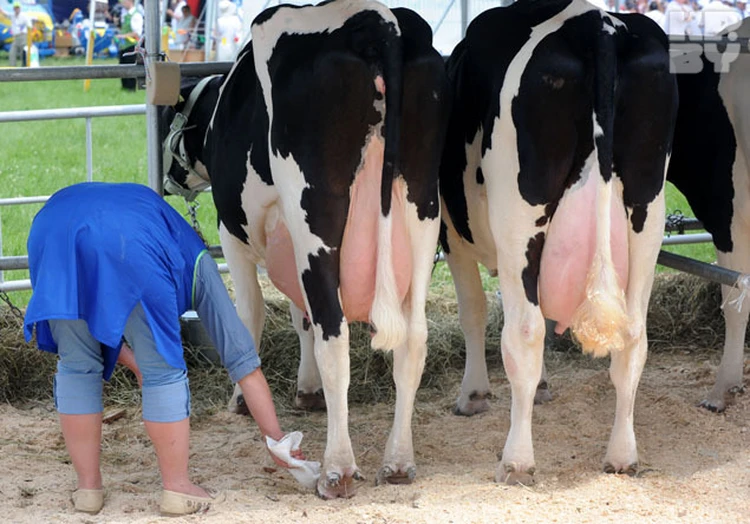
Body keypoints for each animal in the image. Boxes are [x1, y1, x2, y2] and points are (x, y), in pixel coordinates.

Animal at [162, 1, 450, 500]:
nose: (167, 179)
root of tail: (378, 22)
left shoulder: (233, 232)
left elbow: (251, 317)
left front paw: (241, 399)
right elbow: (302, 318)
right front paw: (307, 391)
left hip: (314, 214)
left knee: (336, 335)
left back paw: (338, 469)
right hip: (421, 210)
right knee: (413, 338)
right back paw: (397, 462)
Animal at [440, 0, 680, 484]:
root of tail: (597, 23)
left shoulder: (451, 233)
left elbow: (473, 310)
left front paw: (473, 394)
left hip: (519, 217)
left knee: (524, 331)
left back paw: (516, 460)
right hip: (648, 210)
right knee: (634, 335)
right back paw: (622, 454)